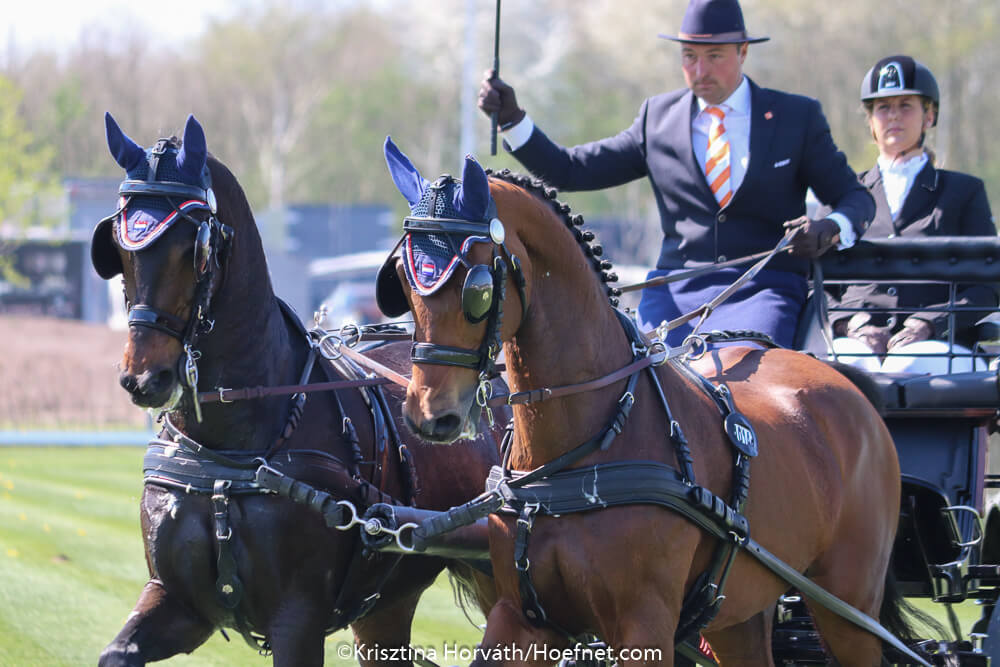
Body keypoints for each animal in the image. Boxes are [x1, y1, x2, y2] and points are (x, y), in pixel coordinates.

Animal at [90, 114, 501, 667]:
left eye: (193, 248)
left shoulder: (298, 620)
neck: (231, 450)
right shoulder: (177, 601)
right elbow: (117, 652)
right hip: (386, 605)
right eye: (117, 244)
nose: (143, 378)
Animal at [376, 138, 910, 666]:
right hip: (738, 612)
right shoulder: (523, 617)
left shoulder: (643, 626)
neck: (578, 455)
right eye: (400, 278)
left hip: (848, 609)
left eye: (479, 289)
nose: (428, 415)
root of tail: (845, 384)